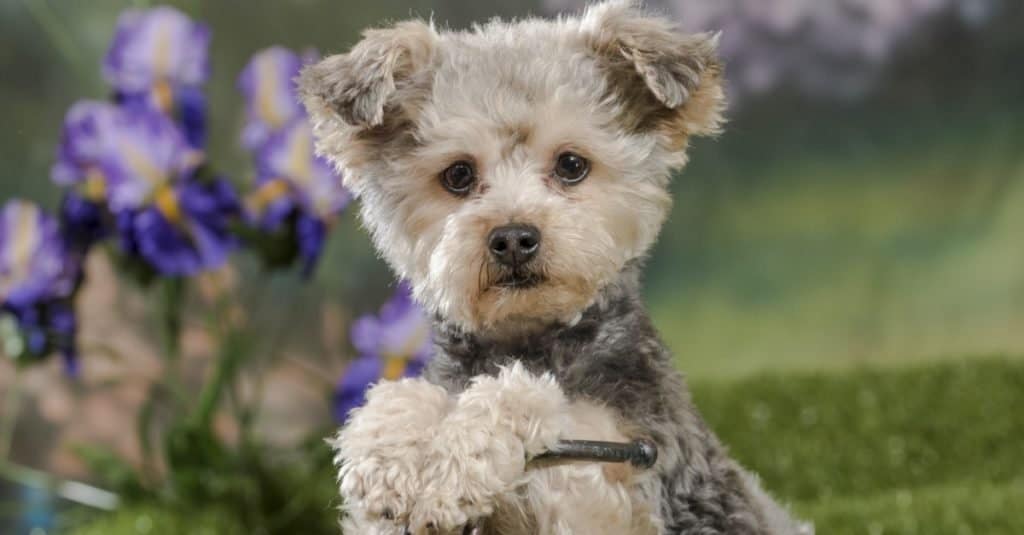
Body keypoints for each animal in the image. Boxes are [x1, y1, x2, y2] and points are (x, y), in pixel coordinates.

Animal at [299, 2, 811, 528]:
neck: (533, 342)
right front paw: (394, 454)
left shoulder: (614, 476)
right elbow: (398, 404)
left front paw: (451, 462)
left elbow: (526, 399)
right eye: (458, 174)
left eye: (571, 165)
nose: (512, 239)